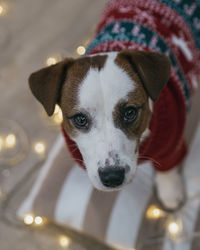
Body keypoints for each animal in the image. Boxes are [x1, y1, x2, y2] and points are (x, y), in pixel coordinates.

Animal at [28, 0, 200, 210]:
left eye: (130, 112)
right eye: (80, 119)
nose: (112, 177)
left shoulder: (170, 140)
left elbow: (166, 165)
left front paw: (170, 190)